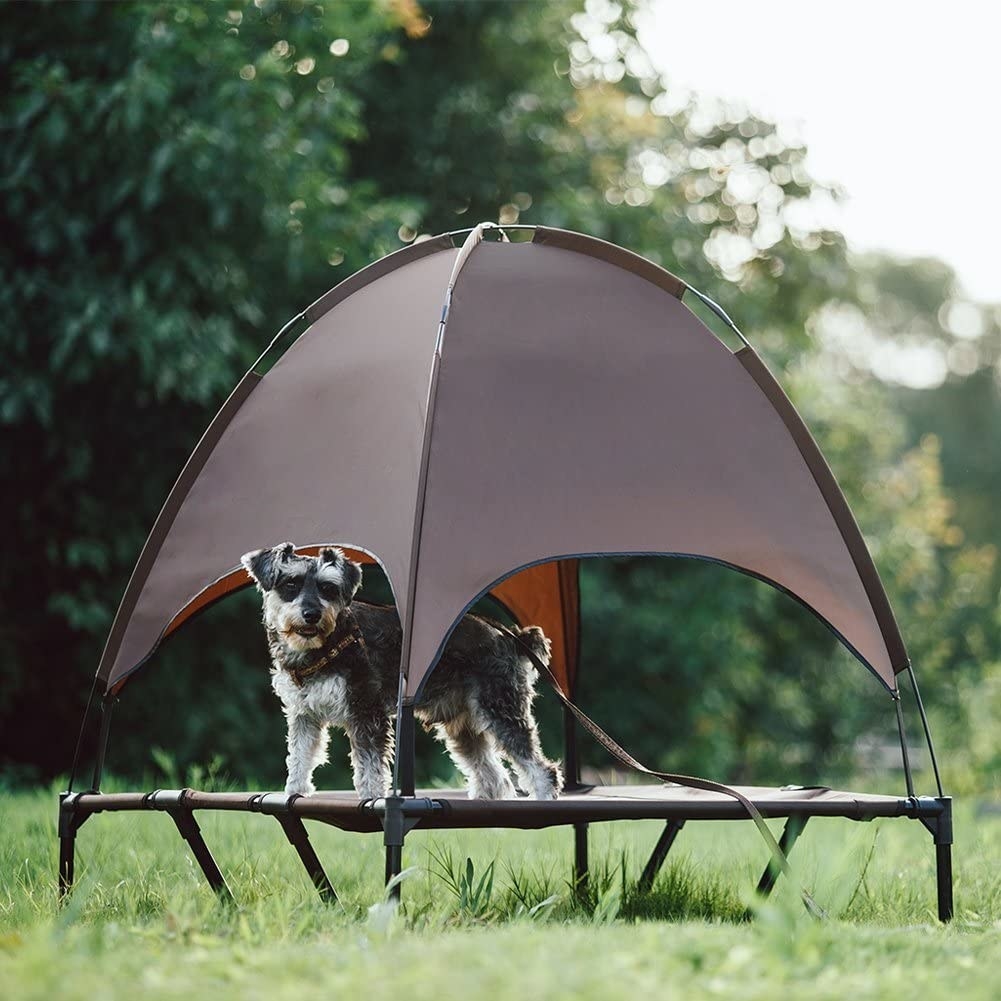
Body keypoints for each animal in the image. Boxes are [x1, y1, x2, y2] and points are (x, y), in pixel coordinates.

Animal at [238, 544, 560, 800]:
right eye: (290, 584)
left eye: (328, 588)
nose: (312, 614)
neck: (323, 645)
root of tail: (508, 636)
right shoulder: (304, 715)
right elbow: (300, 756)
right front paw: (294, 791)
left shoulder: (366, 711)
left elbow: (369, 763)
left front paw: (371, 797)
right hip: (462, 724)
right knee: (492, 771)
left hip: (501, 709)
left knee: (539, 766)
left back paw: (543, 797)